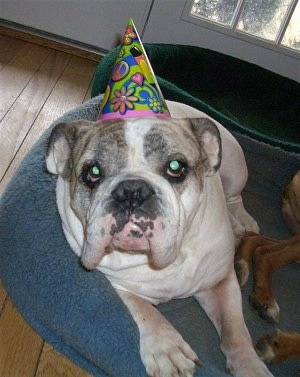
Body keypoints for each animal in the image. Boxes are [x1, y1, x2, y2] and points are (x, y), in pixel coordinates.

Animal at [46, 100, 272, 376]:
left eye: (175, 168)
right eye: (93, 172)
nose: (131, 191)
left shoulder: (219, 281)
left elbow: (235, 331)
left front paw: (250, 365)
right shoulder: (116, 284)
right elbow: (144, 309)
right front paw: (168, 348)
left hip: (234, 171)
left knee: (235, 201)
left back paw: (244, 224)